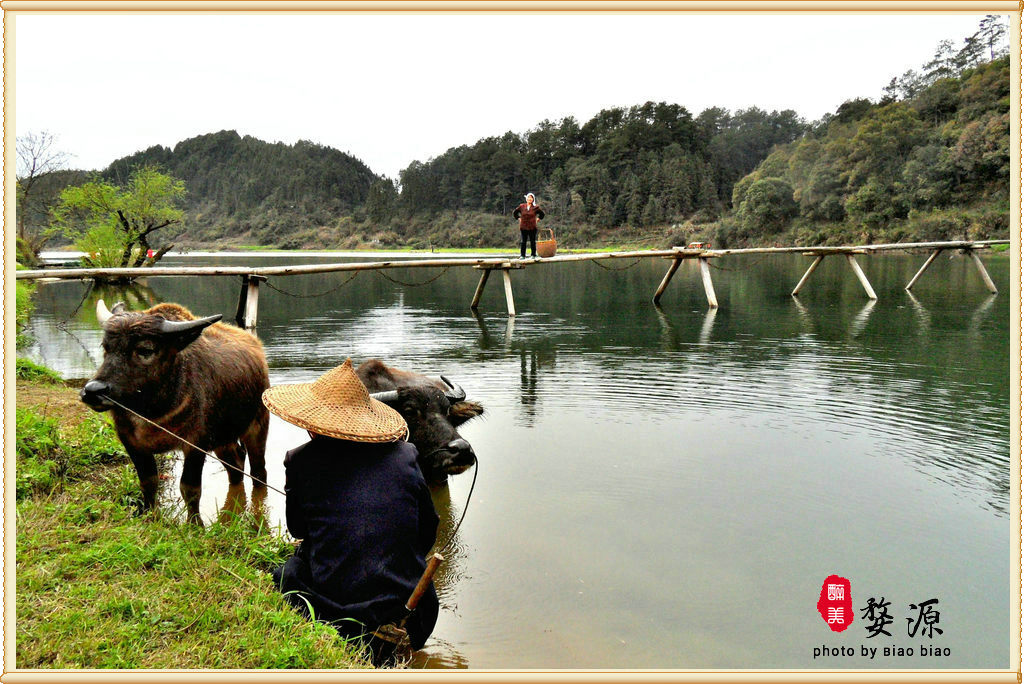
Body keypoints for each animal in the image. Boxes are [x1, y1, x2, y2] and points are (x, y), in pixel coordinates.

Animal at [80, 301, 270, 524]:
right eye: (106, 347)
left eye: (145, 350)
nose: (93, 391)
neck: (153, 412)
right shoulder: (130, 442)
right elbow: (148, 481)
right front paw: (149, 515)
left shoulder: (196, 444)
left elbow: (190, 488)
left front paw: (195, 525)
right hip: (223, 438)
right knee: (236, 465)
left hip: (258, 425)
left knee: (258, 472)